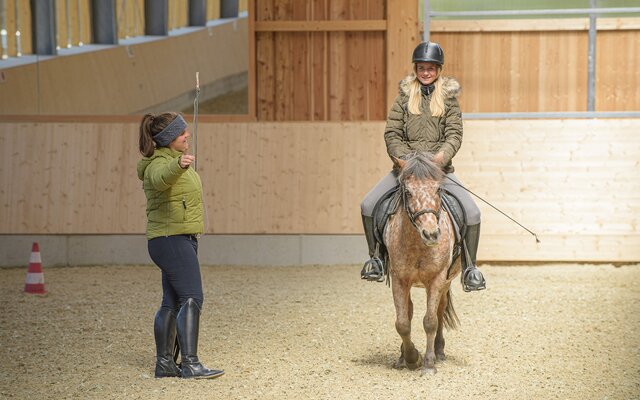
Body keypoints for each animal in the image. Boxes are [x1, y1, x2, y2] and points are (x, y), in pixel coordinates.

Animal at [384, 152, 460, 374]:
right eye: (408, 192)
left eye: (438, 189)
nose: (431, 234)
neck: (418, 245)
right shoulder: (399, 279)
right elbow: (402, 323)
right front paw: (411, 358)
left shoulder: (437, 279)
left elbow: (430, 321)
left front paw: (428, 364)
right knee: (408, 312)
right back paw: (403, 357)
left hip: (446, 282)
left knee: (440, 309)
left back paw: (439, 351)